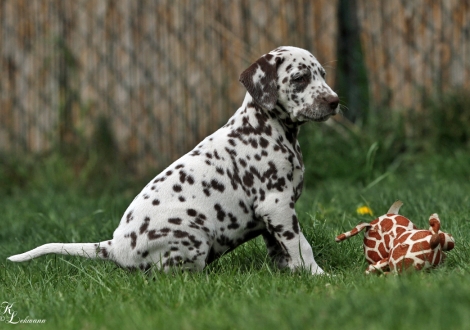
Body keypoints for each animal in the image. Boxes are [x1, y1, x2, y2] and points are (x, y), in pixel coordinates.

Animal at [7, 45, 338, 274]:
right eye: (299, 78)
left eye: (322, 74)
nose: (334, 101)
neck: (266, 128)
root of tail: (114, 247)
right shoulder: (277, 204)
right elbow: (300, 244)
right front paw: (317, 276)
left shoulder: (270, 214)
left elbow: (280, 248)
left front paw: (289, 272)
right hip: (192, 236)